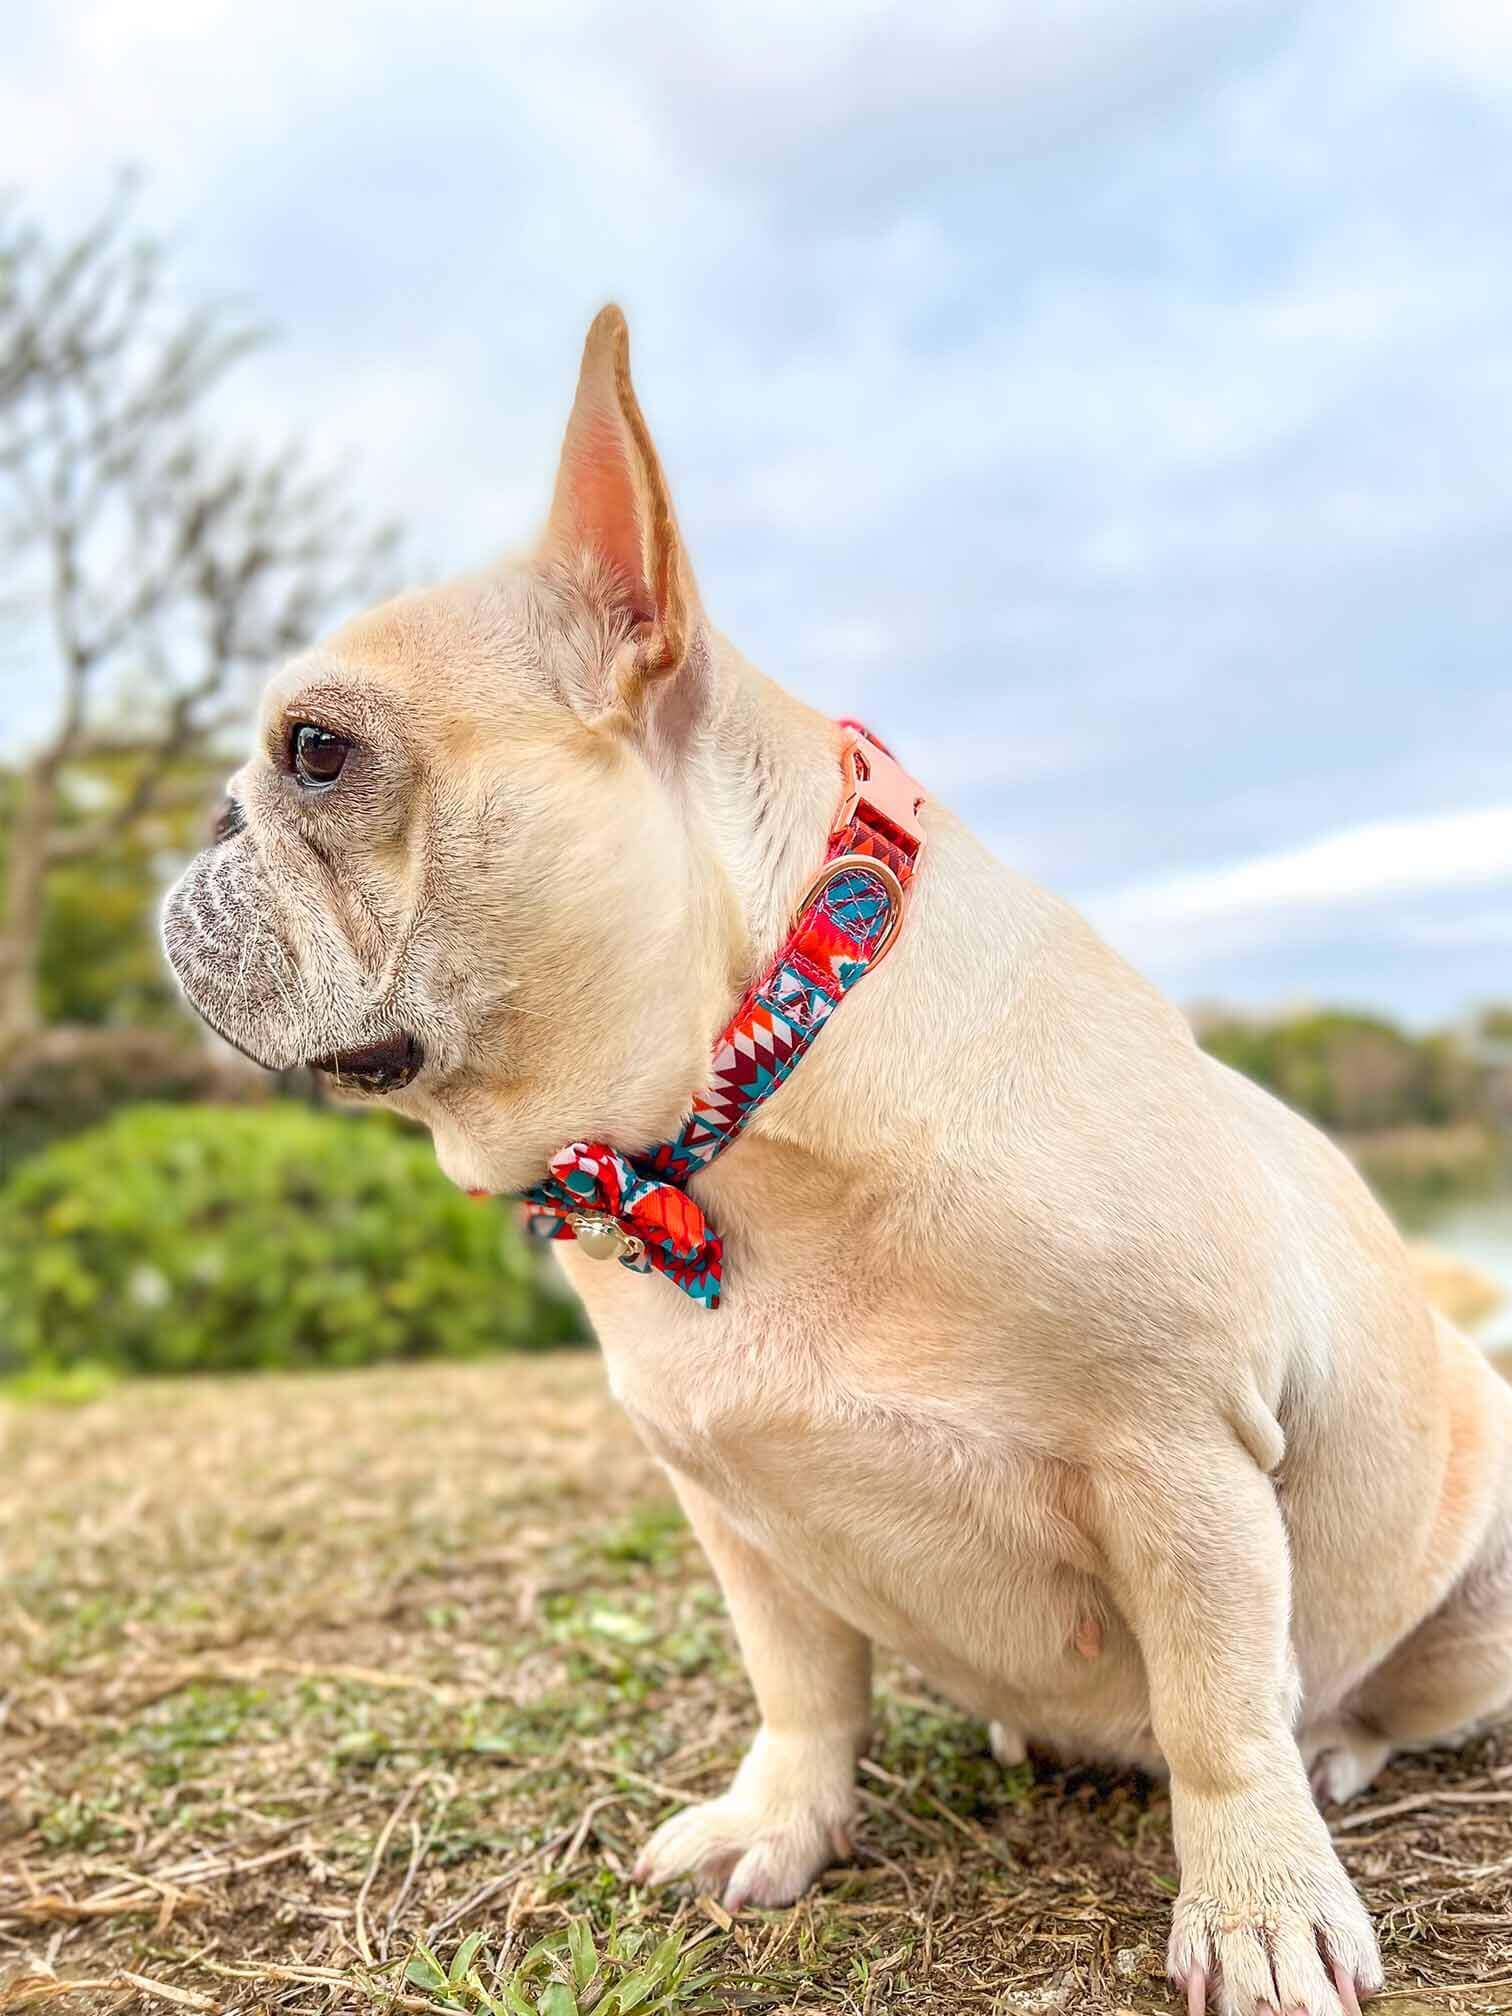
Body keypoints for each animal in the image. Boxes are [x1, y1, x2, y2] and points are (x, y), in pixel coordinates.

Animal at [165, 302, 1512, 2016]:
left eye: (319, 754)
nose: (208, 818)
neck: (740, 1097)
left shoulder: (1183, 1462)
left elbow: (1219, 1714)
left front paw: (1259, 1908)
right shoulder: (737, 1505)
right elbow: (801, 1688)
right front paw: (779, 1827)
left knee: (1369, 1701)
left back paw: (1334, 1746)